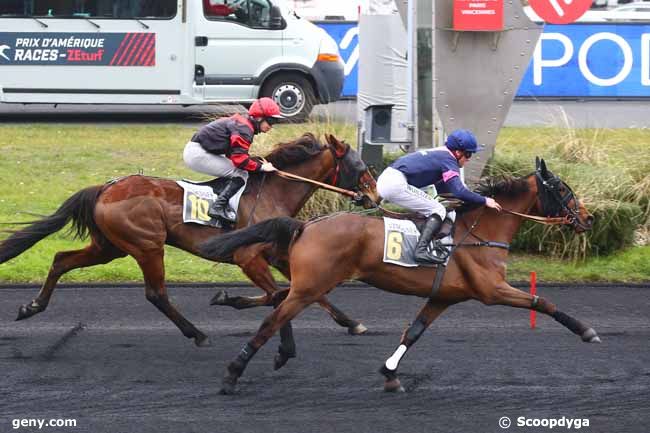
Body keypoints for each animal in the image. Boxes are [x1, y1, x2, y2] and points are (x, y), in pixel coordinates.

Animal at [0, 133, 380, 346]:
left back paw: (32, 306)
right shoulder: (248, 258)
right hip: (146, 246)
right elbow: (278, 295)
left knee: (61, 259)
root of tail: (106, 188)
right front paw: (230, 299)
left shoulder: (279, 255)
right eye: (361, 166)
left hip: (109, 248)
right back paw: (197, 334)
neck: (272, 191)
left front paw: (352, 323)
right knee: (156, 294)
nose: (375, 197)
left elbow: (313, 292)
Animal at [201, 157, 596, 394]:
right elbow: (541, 301)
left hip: (310, 284)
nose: (588, 218)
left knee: (278, 300)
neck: (480, 231)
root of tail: (305, 225)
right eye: (562, 189)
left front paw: (390, 374)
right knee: (274, 316)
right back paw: (234, 372)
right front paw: (586, 331)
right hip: (312, 285)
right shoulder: (492, 289)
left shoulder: (443, 297)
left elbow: (414, 331)